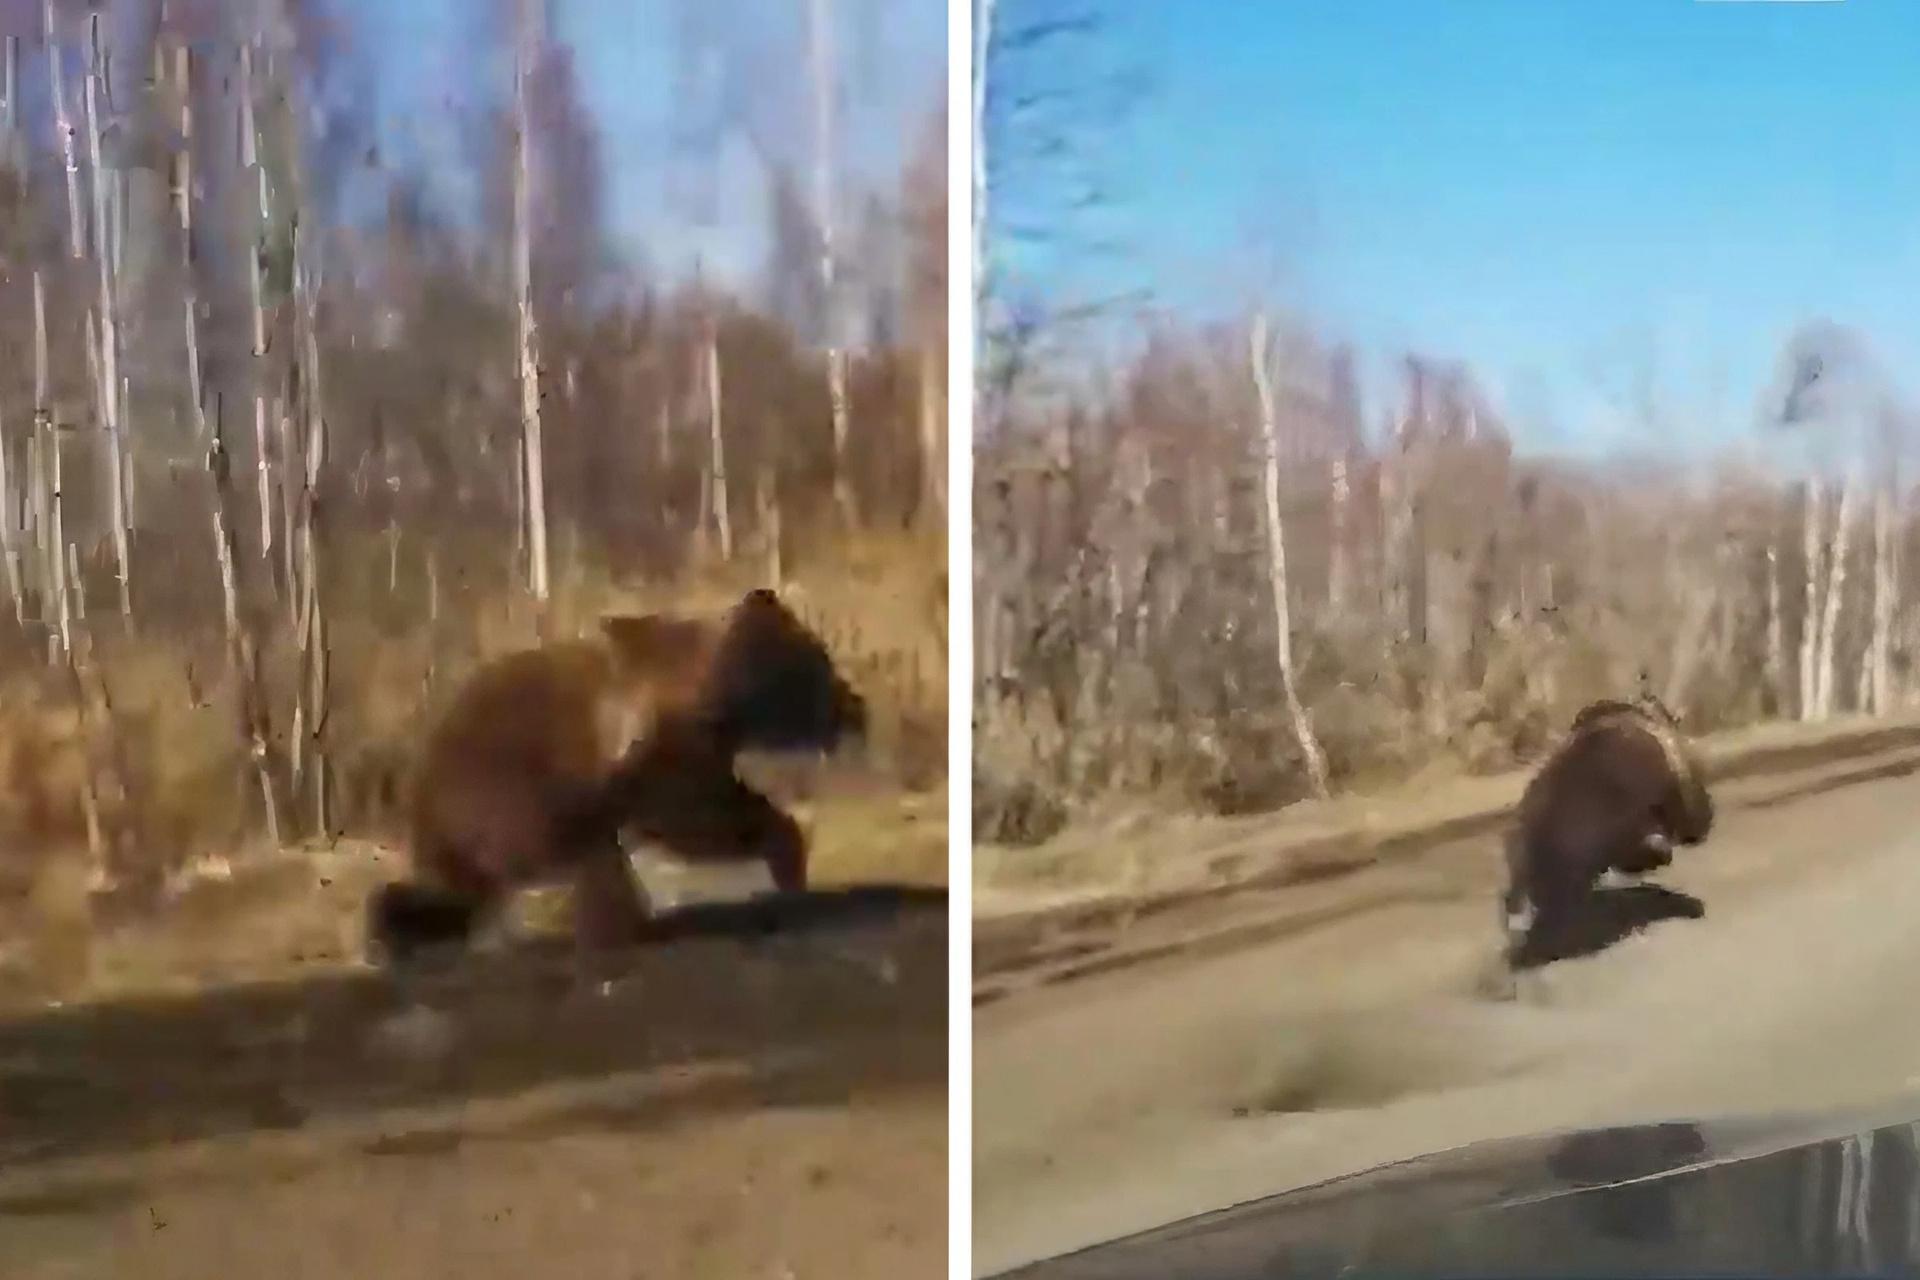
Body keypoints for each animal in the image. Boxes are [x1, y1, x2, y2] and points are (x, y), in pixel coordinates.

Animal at [360, 587, 871, 967]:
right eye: (821, 665)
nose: (857, 705)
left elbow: (707, 813)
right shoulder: (663, 752)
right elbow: (698, 815)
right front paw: (787, 855)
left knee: (454, 893)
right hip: (506, 790)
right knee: (584, 855)